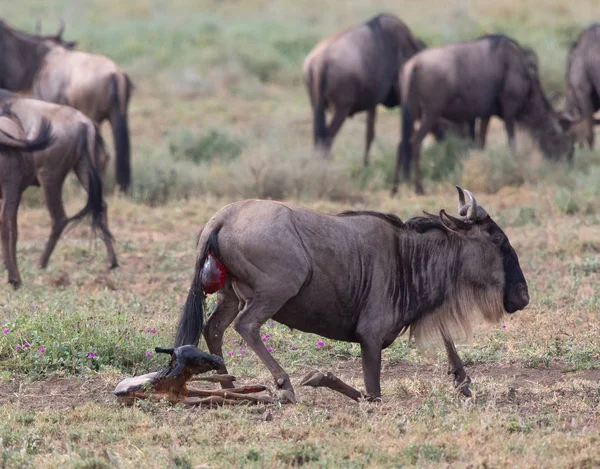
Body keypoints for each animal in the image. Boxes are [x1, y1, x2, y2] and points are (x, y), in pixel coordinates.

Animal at [175, 188, 528, 400]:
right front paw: (318, 377)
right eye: (498, 240)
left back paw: (230, 387)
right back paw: (284, 385)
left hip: (230, 295)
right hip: (274, 291)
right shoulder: (370, 338)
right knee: (246, 326)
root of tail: (221, 218)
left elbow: (445, 333)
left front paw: (462, 379)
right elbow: (371, 395)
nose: (522, 296)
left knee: (214, 328)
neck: (407, 257)